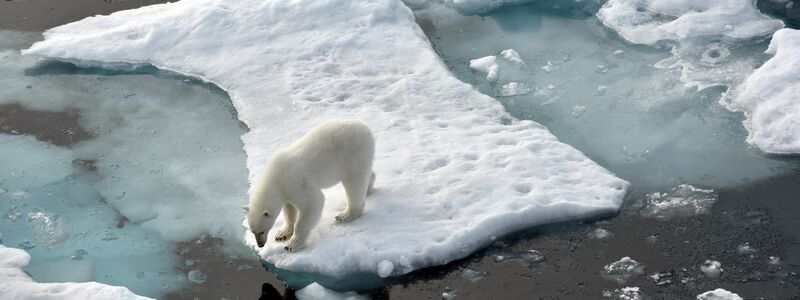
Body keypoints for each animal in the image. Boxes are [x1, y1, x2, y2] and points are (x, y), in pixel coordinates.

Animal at [244, 119, 376, 251]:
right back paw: (368, 188)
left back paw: (346, 214)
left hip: (353, 153)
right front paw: (282, 234)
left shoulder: (295, 180)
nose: (260, 245)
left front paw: (292, 244)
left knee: (354, 182)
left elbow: (313, 202)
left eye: (261, 231)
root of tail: (365, 128)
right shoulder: (285, 190)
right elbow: (289, 209)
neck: (275, 176)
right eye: (252, 231)